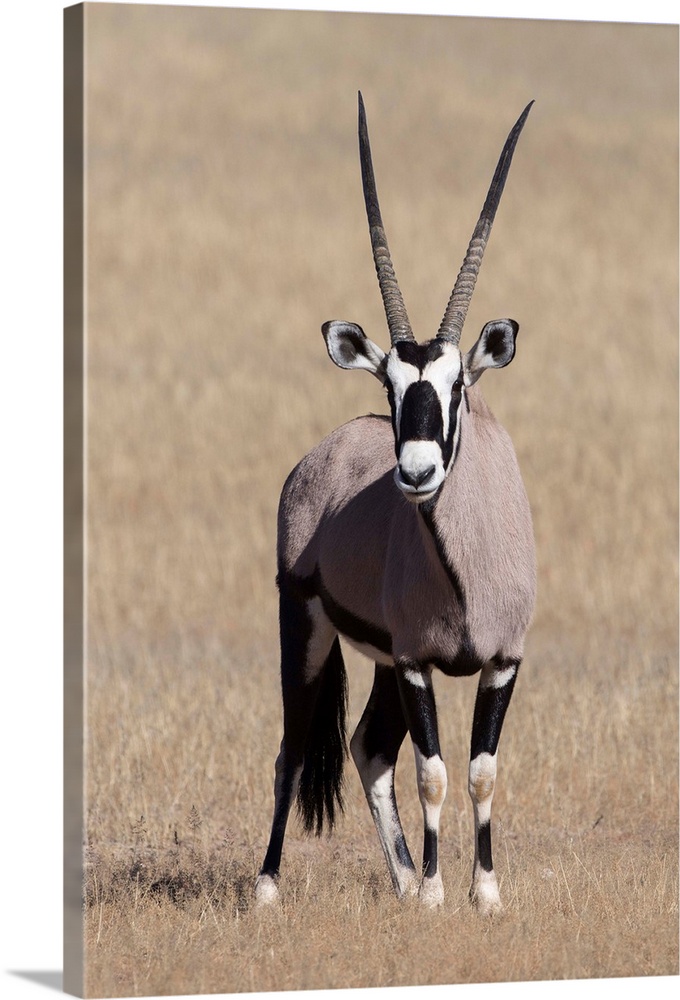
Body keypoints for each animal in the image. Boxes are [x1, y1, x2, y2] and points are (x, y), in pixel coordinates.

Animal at [255, 95, 536, 916]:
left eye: (457, 385)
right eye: (391, 384)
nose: (413, 472)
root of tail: (320, 456)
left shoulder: (502, 660)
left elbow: (479, 771)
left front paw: (482, 893)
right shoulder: (416, 662)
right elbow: (434, 772)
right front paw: (442, 894)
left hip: (373, 656)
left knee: (367, 747)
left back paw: (404, 880)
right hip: (304, 623)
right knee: (295, 748)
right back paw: (269, 886)